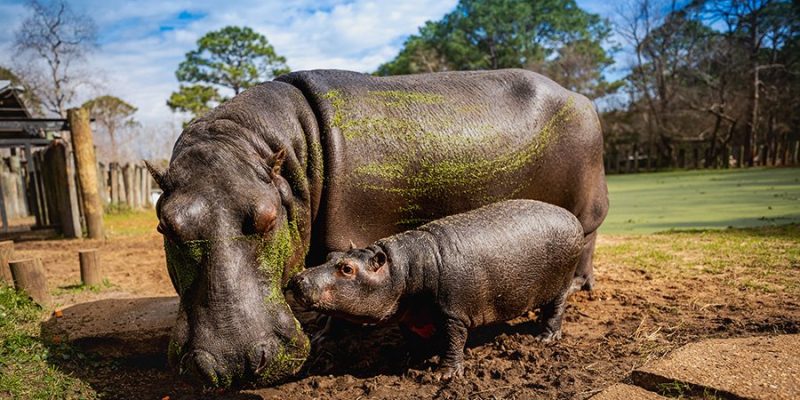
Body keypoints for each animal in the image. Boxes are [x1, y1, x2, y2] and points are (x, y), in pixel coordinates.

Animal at [289, 200, 584, 379]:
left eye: (347, 269)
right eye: (331, 256)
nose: (297, 279)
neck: (402, 269)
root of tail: (572, 217)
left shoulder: (453, 314)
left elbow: (453, 342)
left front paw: (444, 374)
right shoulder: (410, 315)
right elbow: (412, 339)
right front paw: (407, 360)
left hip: (561, 283)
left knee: (556, 309)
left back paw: (545, 338)